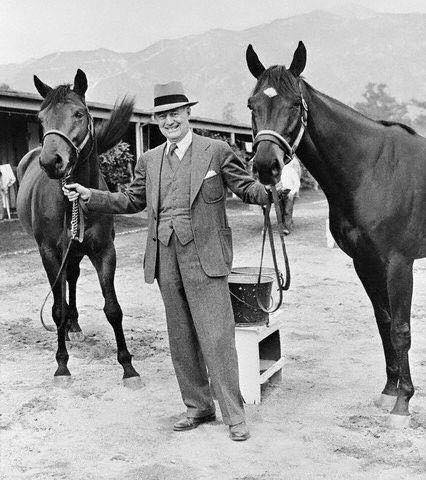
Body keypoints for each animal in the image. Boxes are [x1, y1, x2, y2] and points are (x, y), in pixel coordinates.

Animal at [17, 69, 141, 388]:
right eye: (41, 118)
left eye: (79, 114)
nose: (51, 162)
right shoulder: (50, 253)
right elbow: (57, 308)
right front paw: (62, 365)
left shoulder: (105, 251)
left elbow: (113, 309)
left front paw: (128, 367)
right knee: (62, 286)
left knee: (71, 278)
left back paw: (75, 325)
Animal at [246, 40, 426, 424]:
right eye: (252, 105)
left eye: (294, 104)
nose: (266, 167)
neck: (372, 169)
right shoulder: (365, 262)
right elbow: (384, 322)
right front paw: (389, 392)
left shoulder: (399, 264)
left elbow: (401, 330)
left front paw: (403, 403)